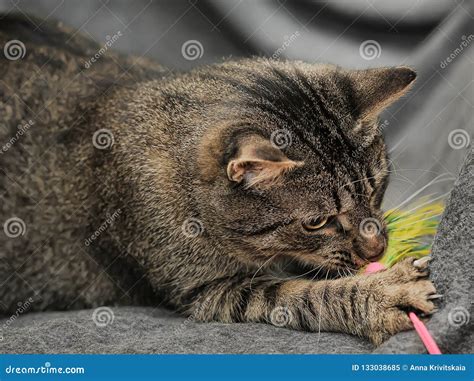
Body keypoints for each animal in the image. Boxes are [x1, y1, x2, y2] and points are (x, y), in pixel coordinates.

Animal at [0, 16, 436, 344]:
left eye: (378, 188)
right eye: (317, 222)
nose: (378, 249)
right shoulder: (208, 290)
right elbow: (297, 294)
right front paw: (378, 294)